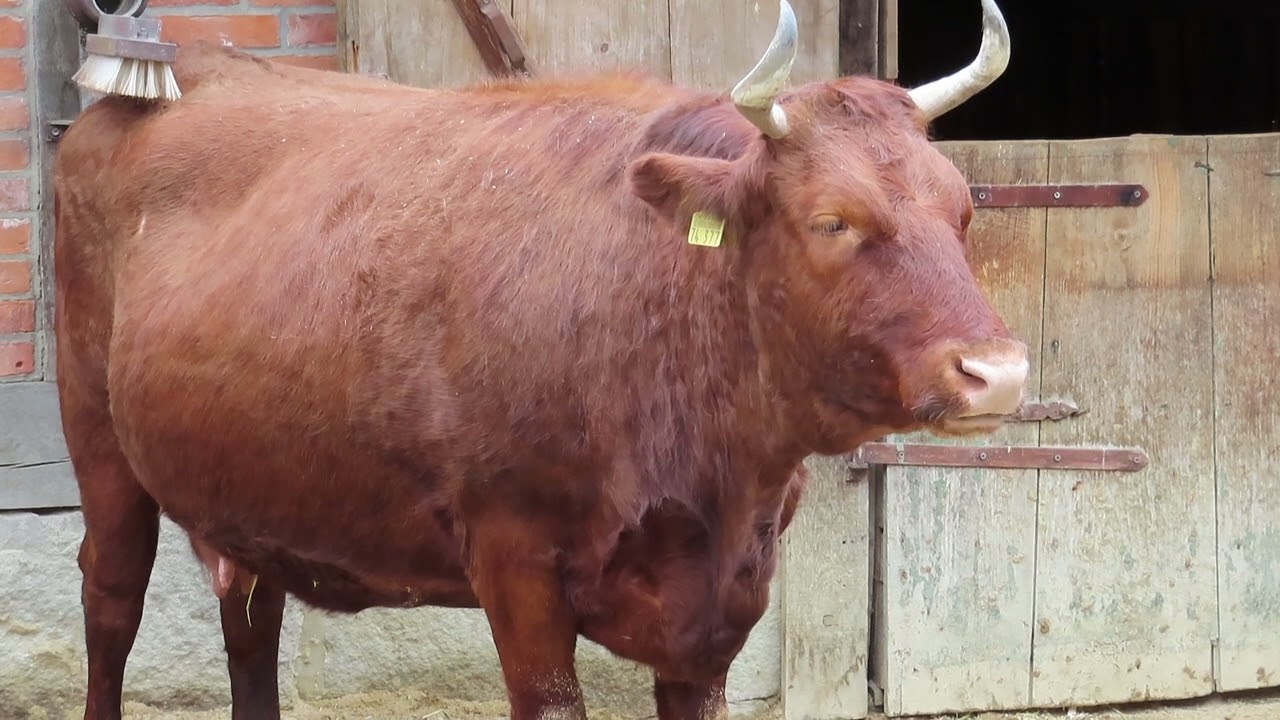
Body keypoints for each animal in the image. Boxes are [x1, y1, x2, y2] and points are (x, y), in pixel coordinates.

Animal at [52, 1, 1026, 718]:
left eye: (963, 209)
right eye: (832, 220)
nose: (999, 372)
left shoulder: (720, 607)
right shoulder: (513, 556)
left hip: (249, 482)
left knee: (250, 621)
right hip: (96, 434)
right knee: (110, 601)